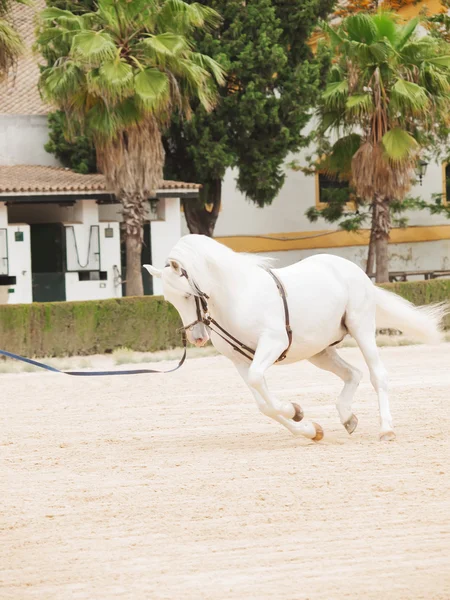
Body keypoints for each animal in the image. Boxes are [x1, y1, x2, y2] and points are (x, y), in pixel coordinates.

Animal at [146, 233, 448, 440]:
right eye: (169, 300)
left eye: (188, 295)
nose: (197, 338)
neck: (238, 295)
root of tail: (351, 269)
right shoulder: (240, 360)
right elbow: (264, 404)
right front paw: (308, 427)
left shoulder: (272, 343)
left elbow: (261, 386)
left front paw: (294, 410)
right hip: (318, 351)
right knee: (353, 374)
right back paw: (348, 418)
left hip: (361, 329)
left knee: (377, 376)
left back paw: (386, 429)